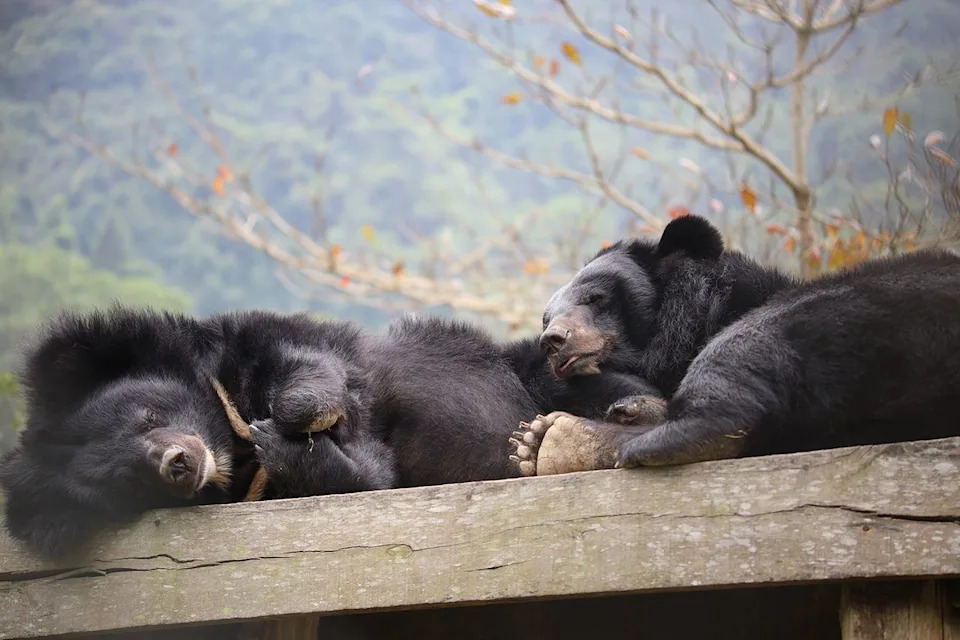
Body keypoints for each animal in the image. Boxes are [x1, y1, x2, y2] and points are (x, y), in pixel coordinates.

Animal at [1, 307, 657, 555]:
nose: (179, 462)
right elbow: (369, 481)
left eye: (150, 417)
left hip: (534, 370)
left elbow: (310, 366)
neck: (229, 442)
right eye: (128, 482)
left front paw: (293, 420)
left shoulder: (262, 344)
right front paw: (292, 449)